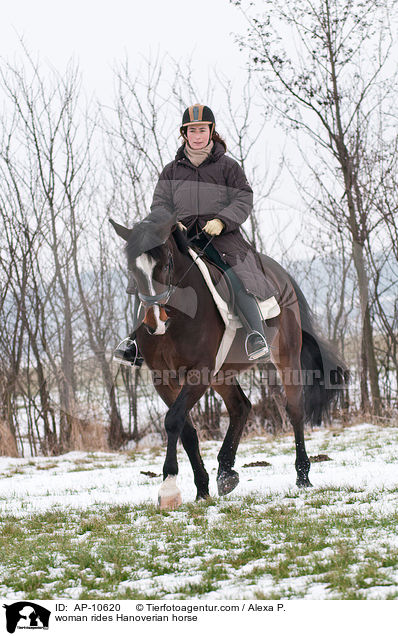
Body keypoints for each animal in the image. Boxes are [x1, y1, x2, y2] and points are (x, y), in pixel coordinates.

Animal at [110, 211, 346, 510]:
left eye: (167, 263)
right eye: (133, 269)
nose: (155, 322)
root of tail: (279, 273)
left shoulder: (199, 373)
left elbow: (173, 420)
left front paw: (169, 488)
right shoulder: (162, 379)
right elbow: (186, 430)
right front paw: (201, 488)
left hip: (286, 356)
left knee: (294, 409)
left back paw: (302, 475)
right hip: (223, 374)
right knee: (240, 407)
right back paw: (225, 472)